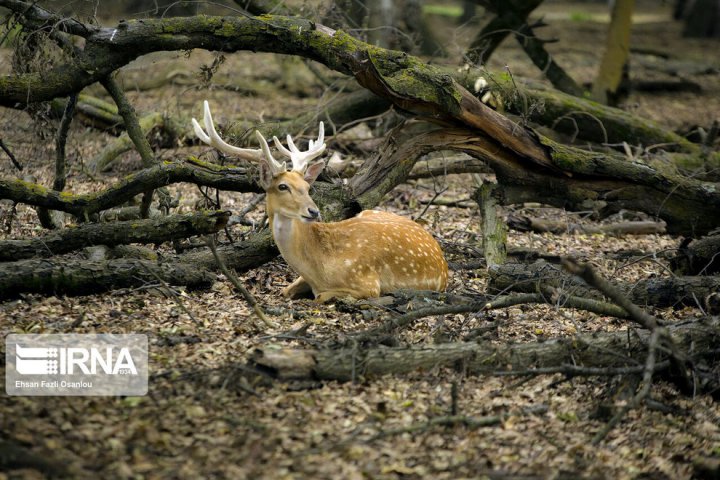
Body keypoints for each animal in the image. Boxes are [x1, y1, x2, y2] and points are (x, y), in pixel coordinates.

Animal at [194, 101, 448, 302]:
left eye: (308, 188)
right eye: (283, 186)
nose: (313, 211)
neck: (319, 269)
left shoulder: (367, 283)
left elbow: (321, 297)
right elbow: (286, 291)